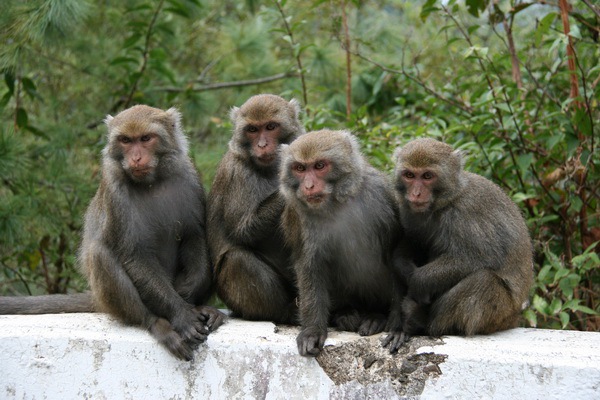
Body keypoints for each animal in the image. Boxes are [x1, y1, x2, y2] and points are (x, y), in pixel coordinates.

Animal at [0, 104, 225, 360]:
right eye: (126, 140)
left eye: (146, 138)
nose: (136, 158)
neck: (152, 181)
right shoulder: (115, 193)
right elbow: (133, 254)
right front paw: (181, 314)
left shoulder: (189, 177)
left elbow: (194, 236)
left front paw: (189, 297)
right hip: (109, 299)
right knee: (100, 254)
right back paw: (155, 323)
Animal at [209, 94, 308, 324]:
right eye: (252, 130)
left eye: (270, 127)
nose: (262, 145)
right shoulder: (238, 174)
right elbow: (243, 230)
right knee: (236, 260)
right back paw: (285, 313)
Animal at [278, 129, 400, 356]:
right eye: (300, 168)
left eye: (319, 166)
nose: (308, 186)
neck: (336, 203)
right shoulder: (299, 214)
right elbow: (310, 265)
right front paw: (313, 330)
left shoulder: (379, 195)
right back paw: (346, 314)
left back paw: (376, 316)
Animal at [382, 138, 532, 354]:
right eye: (409, 175)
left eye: (427, 176)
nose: (416, 193)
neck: (445, 202)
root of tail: (513, 319)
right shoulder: (409, 211)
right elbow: (414, 241)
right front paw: (402, 264)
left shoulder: (465, 214)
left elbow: (478, 258)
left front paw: (418, 281)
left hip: (501, 314)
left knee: (484, 280)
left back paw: (422, 321)